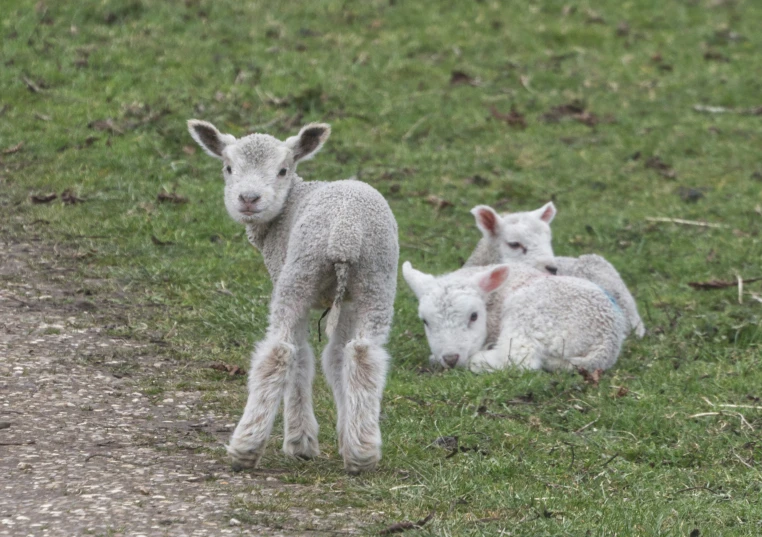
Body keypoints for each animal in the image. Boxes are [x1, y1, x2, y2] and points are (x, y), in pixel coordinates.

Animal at [187, 118, 398, 474]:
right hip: (376, 280)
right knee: (364, 355)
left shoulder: (284, 275)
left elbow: (302, 357)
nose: (248, 198)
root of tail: (345, 231)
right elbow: (336, 358)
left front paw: (300, 443)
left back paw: (246, 446)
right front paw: (344, 436)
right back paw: (362, 451)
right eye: (228, 168)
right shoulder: (348, 303)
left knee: (280, 351)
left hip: (299, 274)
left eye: (283, 170)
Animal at [398, 260, 624, 372]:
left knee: (520, 358)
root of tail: (607, 344)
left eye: (474, 316)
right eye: (425, 322)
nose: (451, 358)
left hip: (530, 315)